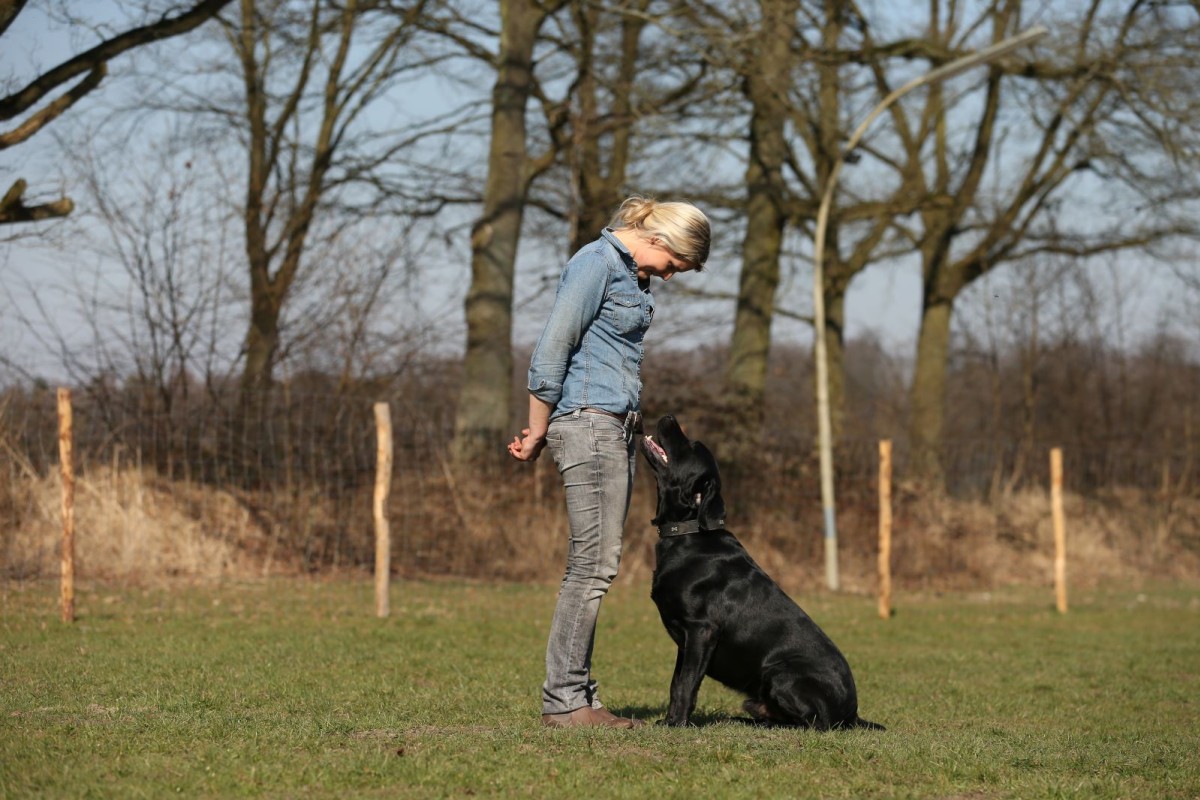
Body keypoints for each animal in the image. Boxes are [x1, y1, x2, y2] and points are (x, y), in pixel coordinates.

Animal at [643, 412, 888, 734]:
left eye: (691, 445)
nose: (670, 416)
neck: (688, 533)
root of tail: (852, 715)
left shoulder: (701, 630)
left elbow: (686, 684)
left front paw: (678, 725)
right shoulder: (685, 641)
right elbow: (676, 683)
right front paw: (670, 720)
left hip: (780, 673)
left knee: (813, 724)